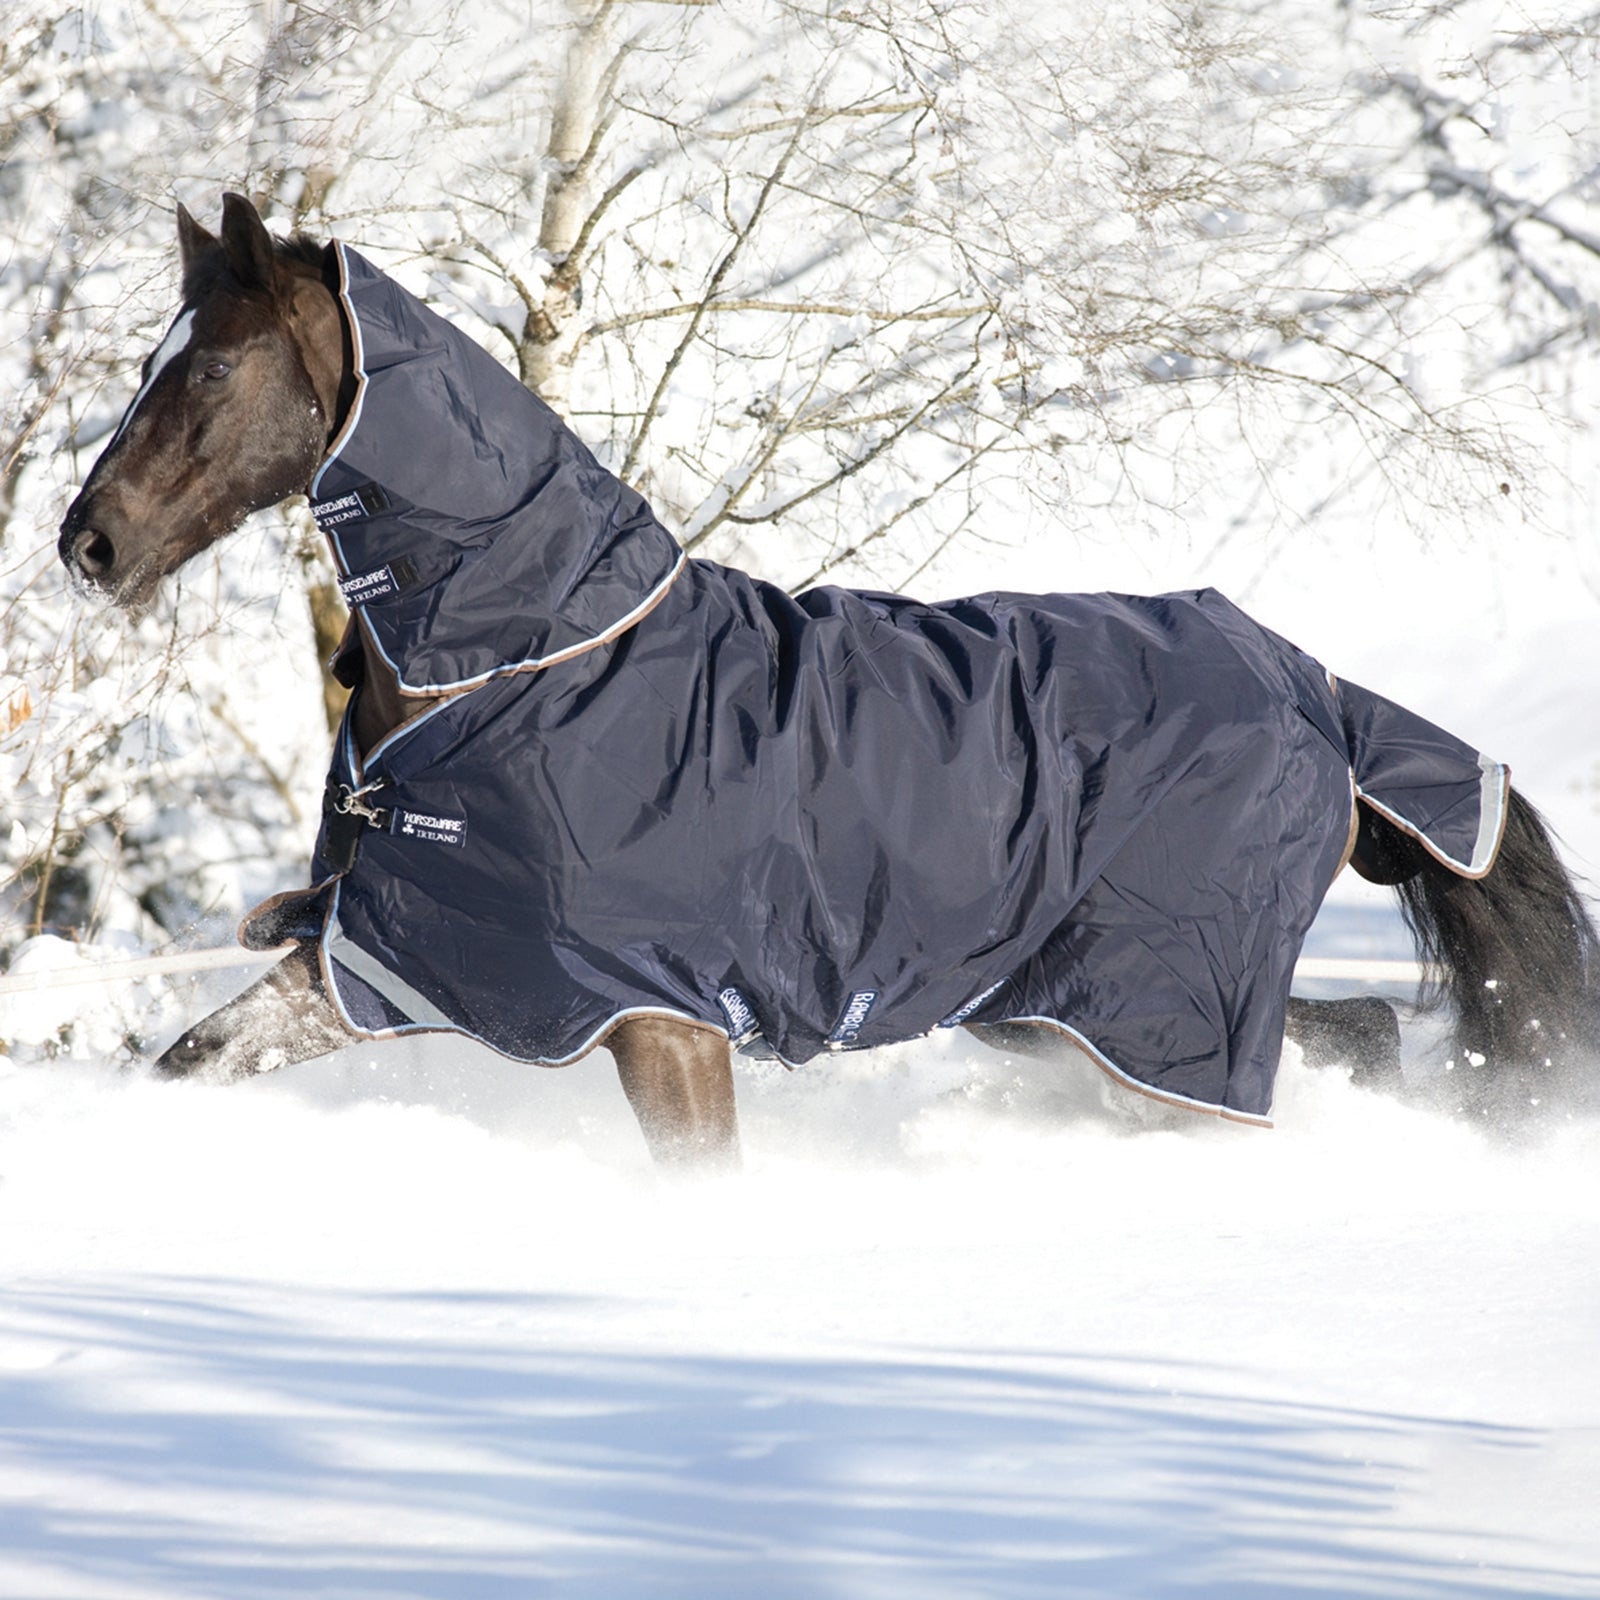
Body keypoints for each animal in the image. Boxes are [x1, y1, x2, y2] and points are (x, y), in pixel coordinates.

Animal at [58, 194, 1599, 1166]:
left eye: (211, 373)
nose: (90, 543)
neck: (522, 670)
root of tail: (1319, 695)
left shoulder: (661, 1024)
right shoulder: (379, 963)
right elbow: (193, 1061)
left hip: (1145, 1012)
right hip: (1069, 1016)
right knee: (1360, 1035)